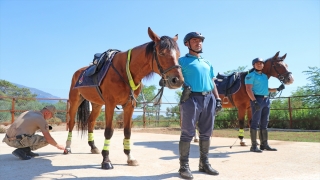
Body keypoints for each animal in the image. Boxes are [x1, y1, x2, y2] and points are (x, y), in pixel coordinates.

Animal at [64, 27, 184, 169]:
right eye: (161, 52)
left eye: (178, 54)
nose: (177, 80)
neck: (126, 71)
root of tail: (78, 73)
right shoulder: (110, 104)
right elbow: (108, 131)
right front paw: (106, 160)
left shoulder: (129, 105)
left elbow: (127, 131)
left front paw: (130, 157)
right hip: (75, 101)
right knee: (71, 123)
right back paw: (67, 148)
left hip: (97, 104)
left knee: (91, 121)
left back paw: (93, 147)